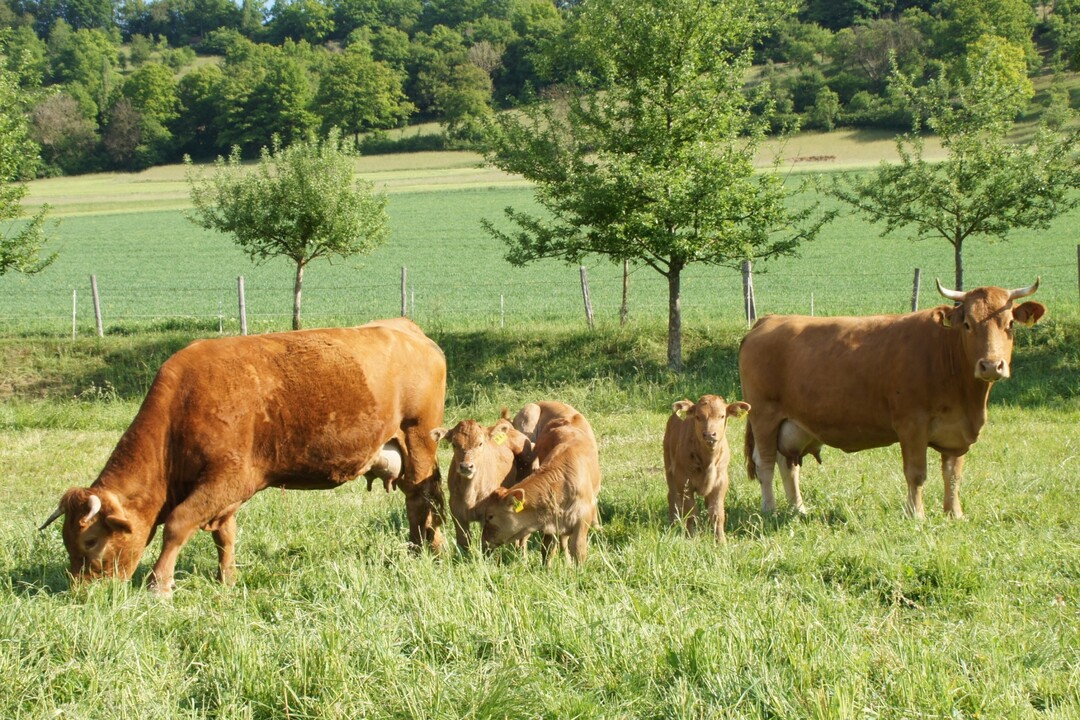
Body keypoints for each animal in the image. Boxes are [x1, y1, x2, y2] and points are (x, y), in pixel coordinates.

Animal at [38, 317, 448, 595]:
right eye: (67, 542)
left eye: (90, 542)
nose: (81, 592)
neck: (180, 409)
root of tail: (406, 328)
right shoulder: (225, 493)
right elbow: (225, 534)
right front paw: (227, 579)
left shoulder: (228, 477)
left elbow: (178, 523)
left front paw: (159, 585)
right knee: (419, 498)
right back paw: (423, 547)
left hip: (419, 438)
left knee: (423, 497)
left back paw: (427, 549)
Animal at [432, 417, 529, 552]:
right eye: (454, 444)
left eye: (480, 444)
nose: (466, 466)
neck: (469, 493)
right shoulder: (457, 515)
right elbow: (464, 544)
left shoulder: (488, 516)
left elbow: (486, 545)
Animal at [482, 412, 601, 565]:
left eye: (490, 516)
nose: (484, 539)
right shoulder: (550, 525)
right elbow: (547, 550)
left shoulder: (582, 520)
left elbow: (578, 550)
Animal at [663, 395, 750, 542]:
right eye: (698, 417)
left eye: (722, 416)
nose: (709, 434)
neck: (708, 461)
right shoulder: (684, 481)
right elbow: (691, 513)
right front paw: (691, 538)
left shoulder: (721, 482)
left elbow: (717, 513)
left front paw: (721, 541)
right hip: (669, 469)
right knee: (672, 497)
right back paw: (673, 524)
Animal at [738, 279, 1045, 519]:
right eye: (967, 325)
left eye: (1010, 324)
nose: (991, 365)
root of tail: (768, 320)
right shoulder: (912, 425)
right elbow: (916, 473)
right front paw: (916, 515)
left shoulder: (957, 433)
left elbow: (953, 475)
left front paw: (954, 514)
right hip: (764, 416)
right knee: (765, 463)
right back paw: (770, 510)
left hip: (792, 424)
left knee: (786, 464)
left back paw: (798, 509)